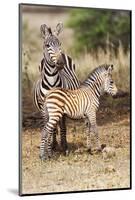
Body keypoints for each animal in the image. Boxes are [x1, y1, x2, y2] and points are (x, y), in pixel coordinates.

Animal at [33, 23, 80, 152]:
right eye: (47, 45)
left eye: (60, 44)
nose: (60, 63)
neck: (52, 81)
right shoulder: (43, 109)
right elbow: (48, 127)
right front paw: (49, 147)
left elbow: (62, 126)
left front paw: (64, 146)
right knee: (53, 126)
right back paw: (53, 144)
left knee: (59, 124)